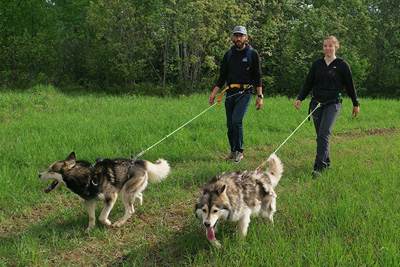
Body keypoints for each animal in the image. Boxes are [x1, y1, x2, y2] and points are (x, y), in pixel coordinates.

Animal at [37, 153, 169, 232]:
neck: (88, 177)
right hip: (125, 190)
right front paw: (89, 229)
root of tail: (141, 162)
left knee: (130, 210)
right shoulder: (89, 200)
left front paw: (108, 223)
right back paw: (139, 202)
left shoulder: (111, 197)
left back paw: (119, 222)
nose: (38, 175)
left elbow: (101, 216)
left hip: (124, 193)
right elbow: (91, 217)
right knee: (137, 196)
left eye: (51, 170)